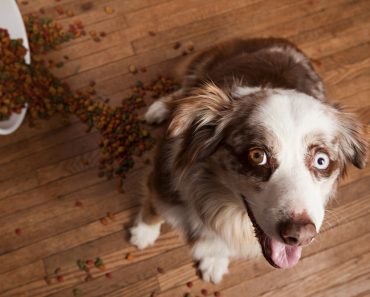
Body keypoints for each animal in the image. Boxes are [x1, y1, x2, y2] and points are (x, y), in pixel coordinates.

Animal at [129, 37, 368, 282]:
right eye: (257, 155)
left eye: (321, 161)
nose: (300, 235)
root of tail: (279, 41)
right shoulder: (163, 183)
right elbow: (153, 210)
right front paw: (143, 233)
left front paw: (214, 261)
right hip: (201, 70)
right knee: (184, 92)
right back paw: (160, 108)